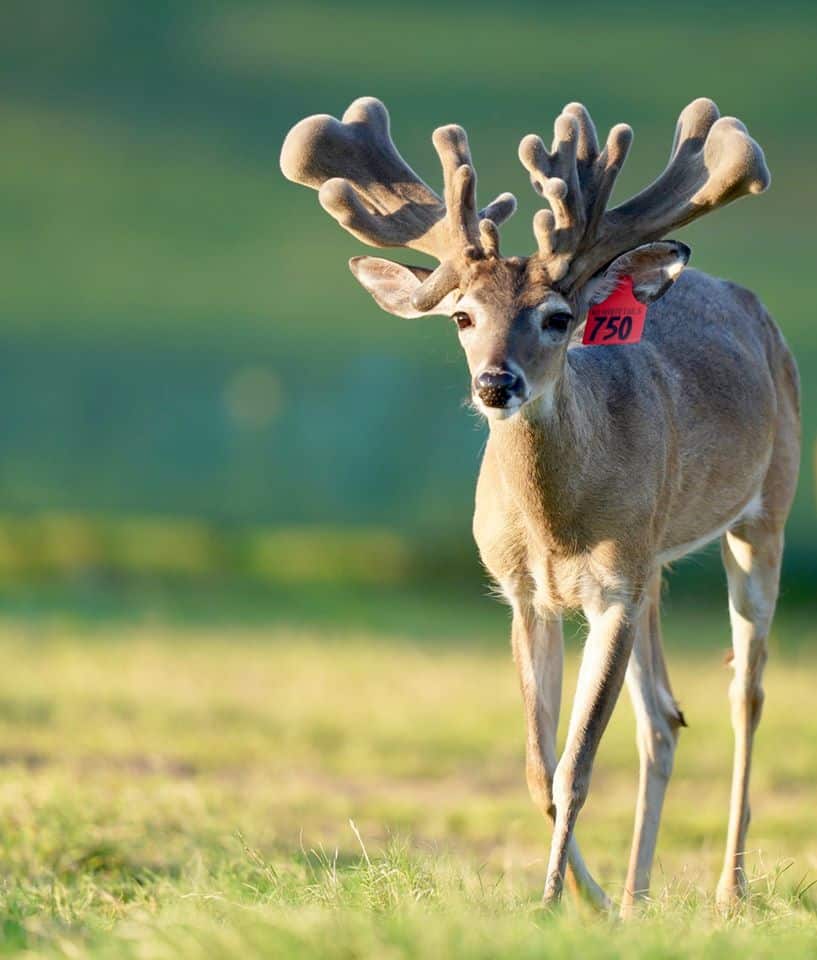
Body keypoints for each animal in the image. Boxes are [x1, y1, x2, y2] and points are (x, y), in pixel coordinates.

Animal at [279, 96, 800, 916]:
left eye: (558, 317)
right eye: (460, 316)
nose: (497, 383)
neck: (556, 528)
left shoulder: (613, 590)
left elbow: (576, 766)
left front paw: (556, 902)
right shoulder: (526, 593)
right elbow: (537, 769)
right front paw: (583, 901)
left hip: (764, 509)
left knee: (744, 692)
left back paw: (729, 890)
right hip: (655, 561)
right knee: (663, 716)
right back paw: (633, 897)